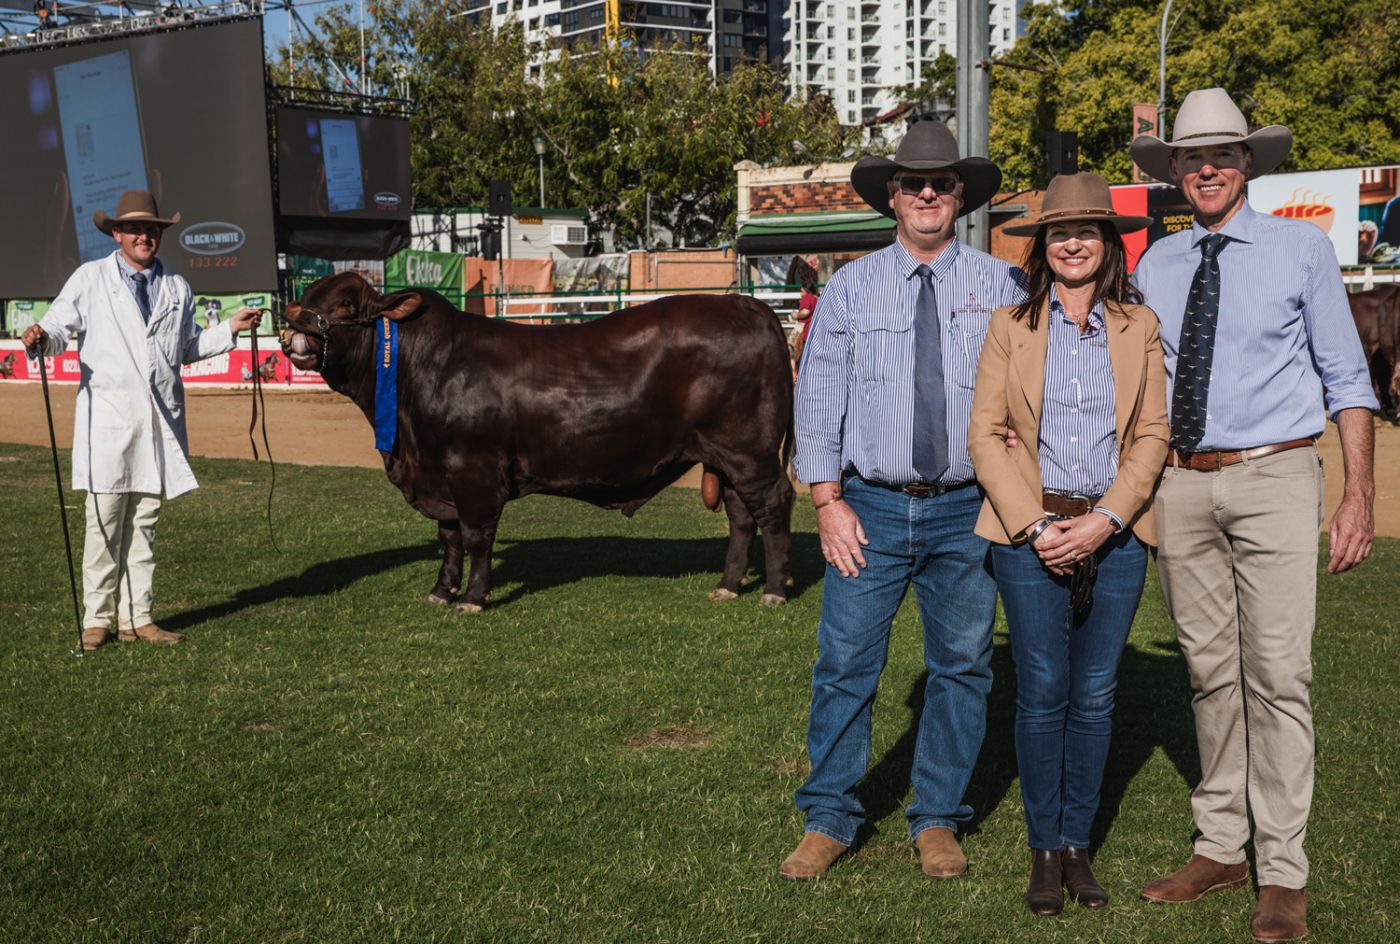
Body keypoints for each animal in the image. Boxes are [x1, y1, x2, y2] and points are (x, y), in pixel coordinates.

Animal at [278, 271, 795, 610]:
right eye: (306, 295)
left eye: (346, 304)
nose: (292, 327)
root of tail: (746, 304)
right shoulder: (439, 475)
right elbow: (448, 538)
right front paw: (442, 591)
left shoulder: (474, 471)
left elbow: (476, 536)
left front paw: (473, 597)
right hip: (727, 456)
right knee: (741, 515)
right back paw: (729, 585)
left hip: (750, 452)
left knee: (772, 506)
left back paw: (773, 589)